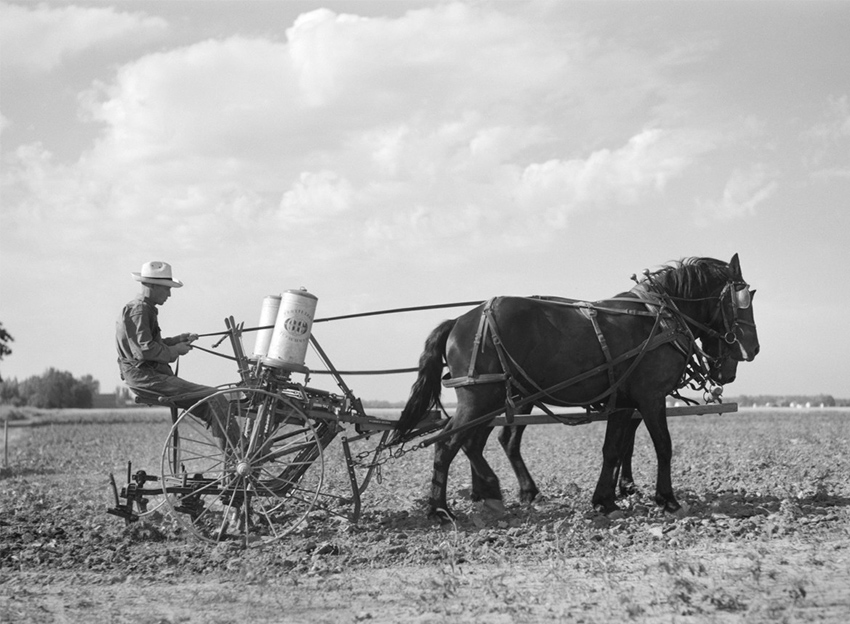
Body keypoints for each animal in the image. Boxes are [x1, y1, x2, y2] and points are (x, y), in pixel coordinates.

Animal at [394, 254, 760, 516]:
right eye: (744, 300)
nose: (753, 349)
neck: (660, 317)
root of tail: (459, 320)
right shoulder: (651, 397)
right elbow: (663, 446)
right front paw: (667, 499)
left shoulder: (623, 402)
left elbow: (613, 450)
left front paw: (606, 501)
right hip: (480, 397)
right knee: (449, 444)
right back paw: (441, 509)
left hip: (496, 397)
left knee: (474, 442)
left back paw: (492, 495)